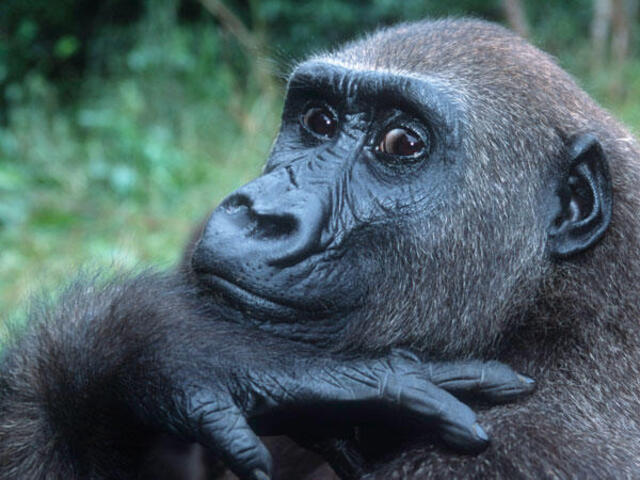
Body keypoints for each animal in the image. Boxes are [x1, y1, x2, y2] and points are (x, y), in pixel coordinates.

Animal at [1, 17, 640, 480]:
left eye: (401, 143)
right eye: (318, 120)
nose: (261, 214)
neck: (549, 300)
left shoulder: (515, 451)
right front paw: (175, 350)